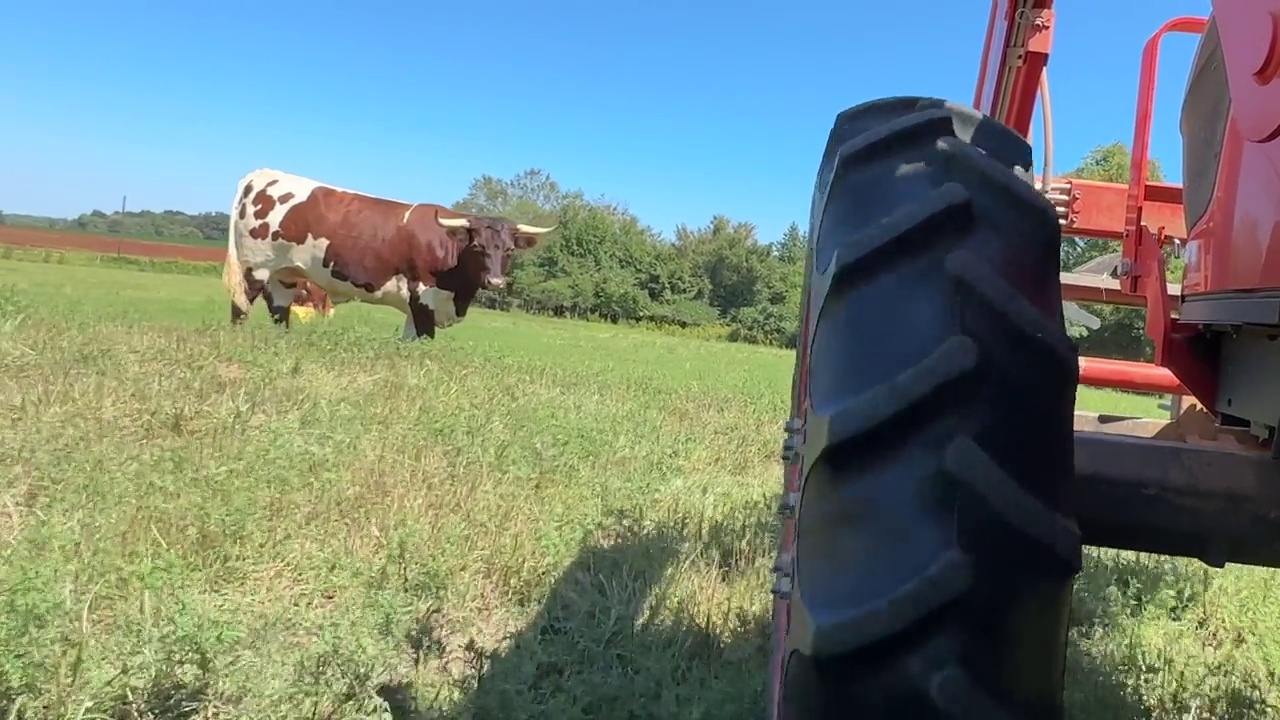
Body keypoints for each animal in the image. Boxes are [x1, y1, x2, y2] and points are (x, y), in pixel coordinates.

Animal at [222, 166, 552, 338]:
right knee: (241, 306)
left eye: (509, 249)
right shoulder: (423, 297)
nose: (495, 281)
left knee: (279, 309)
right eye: (477, 246)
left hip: (286, 273)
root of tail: (262, 173)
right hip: (255, 267)